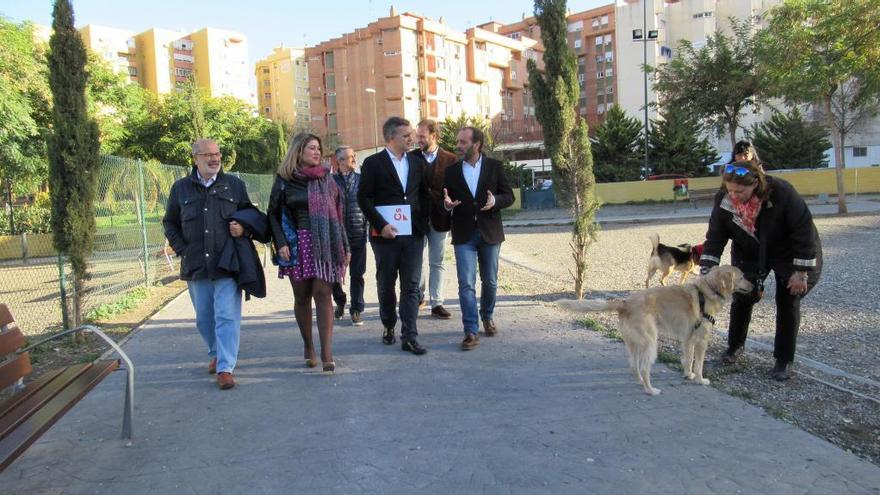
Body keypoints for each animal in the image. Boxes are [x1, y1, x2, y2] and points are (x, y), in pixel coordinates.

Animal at [560, 266, 752, 398]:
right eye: (742, 276)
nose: (755, 286)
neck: (710, 289)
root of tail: (626, 303)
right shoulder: (701, 340)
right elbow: (698, 364)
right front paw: (699, 379)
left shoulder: (688, 339)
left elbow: (688, 359)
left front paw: (688, 375)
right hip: (650, 343)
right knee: (644, 368)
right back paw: (650, 390)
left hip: (634, 344)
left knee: (634, 366)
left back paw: (640, 383)